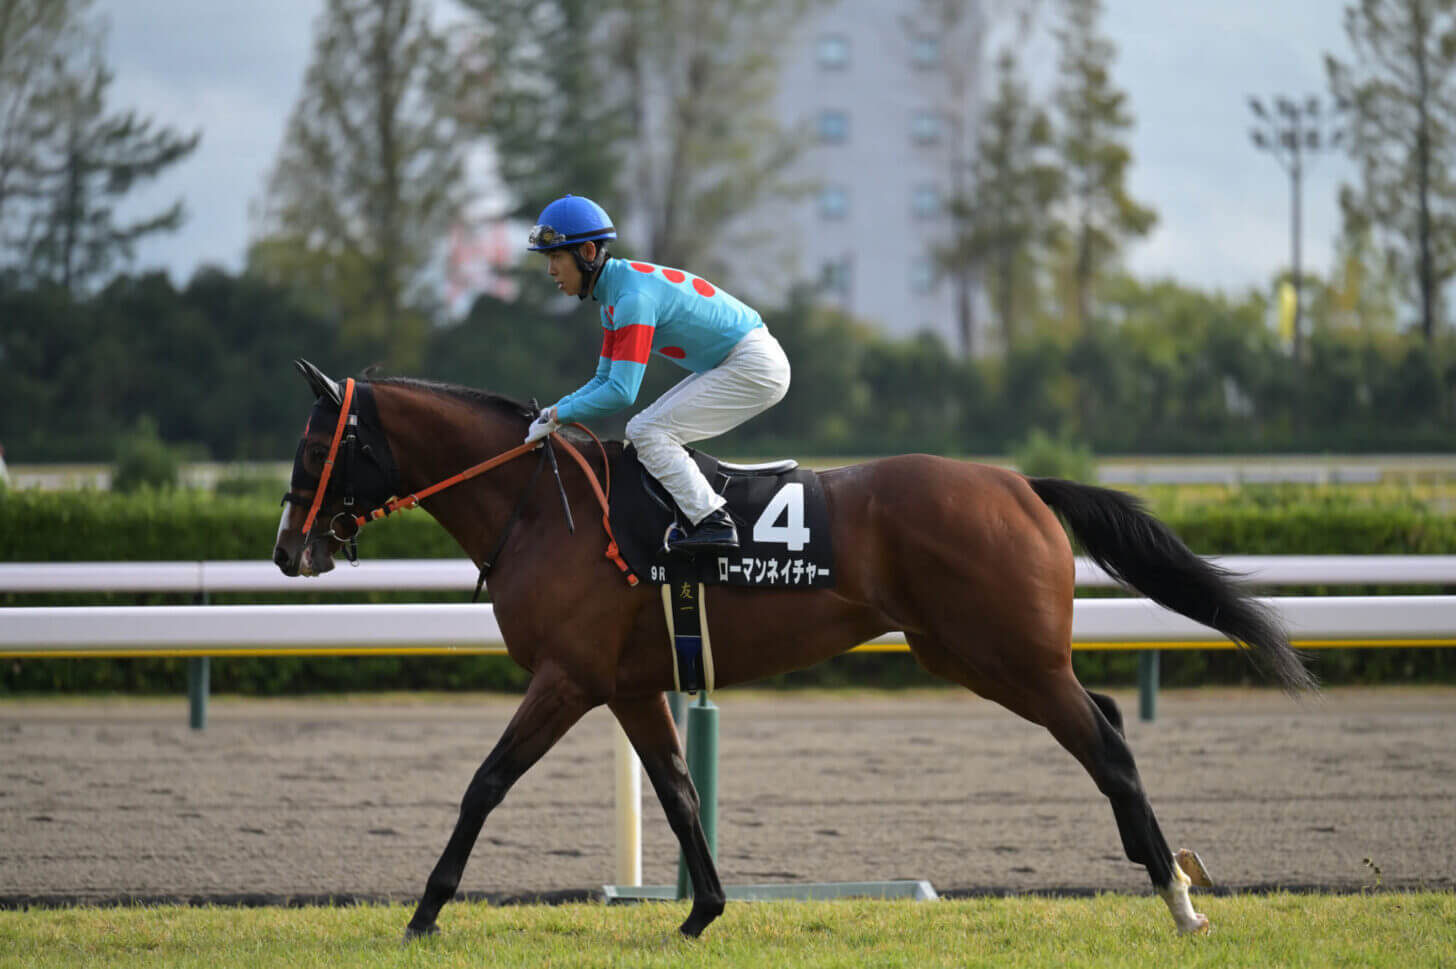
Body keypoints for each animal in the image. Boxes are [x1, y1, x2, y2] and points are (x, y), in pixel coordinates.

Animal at [273, 360, 1322, 936]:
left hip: (1005, 656)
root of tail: (1021, 482)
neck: (542, 508)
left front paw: (423, 912)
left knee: (1105, 741)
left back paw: (1177, 897)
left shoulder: (567, 677)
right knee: (1104, 726)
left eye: (317, 444)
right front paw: (703, 910)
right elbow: (678, 789)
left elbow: (485, 782)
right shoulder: (628, 683)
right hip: (975, 654)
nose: (289, 550)